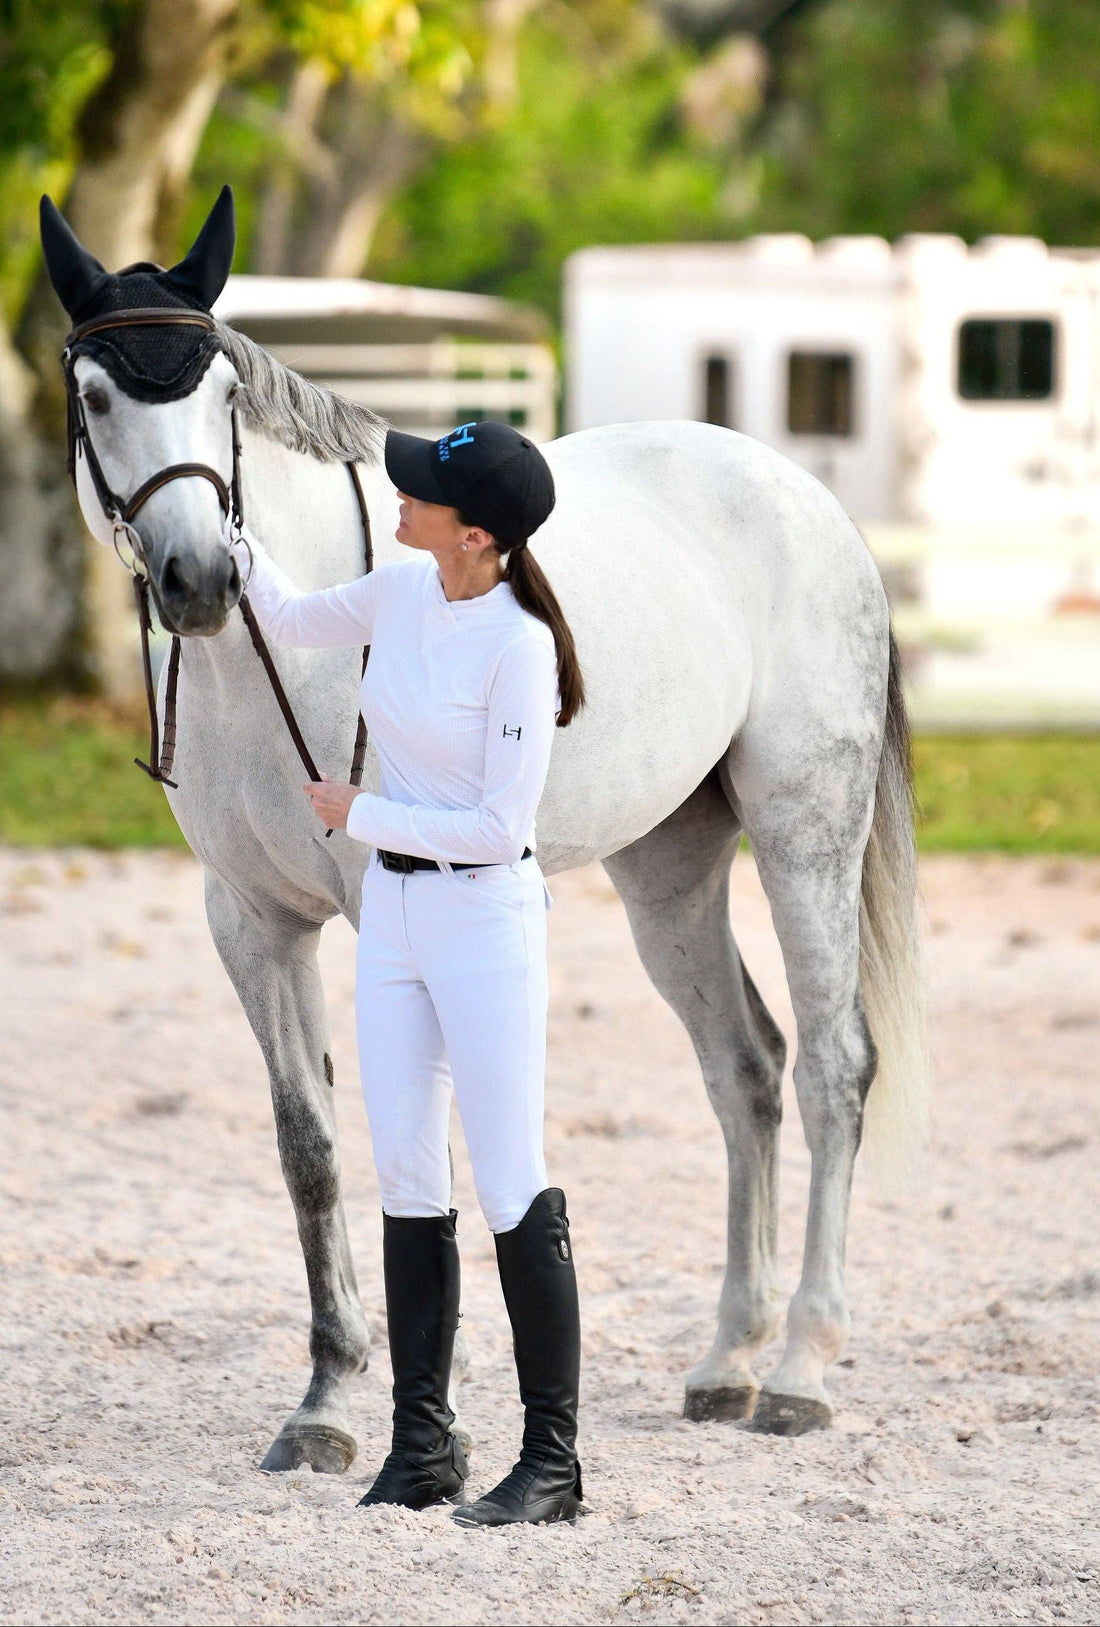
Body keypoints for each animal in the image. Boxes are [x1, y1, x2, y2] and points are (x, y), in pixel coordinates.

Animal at [40, 187, 927, 1472]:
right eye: (101, 396)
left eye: (221, 396)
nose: (200, 578)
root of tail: (806, 501)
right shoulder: (250, 923)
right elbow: (309, 1148)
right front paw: (324, 1402)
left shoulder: (391, 911)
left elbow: (425, 1142)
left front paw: (430, 1408)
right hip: (667, 872)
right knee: (744, 1068)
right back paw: (725, 1359)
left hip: (805, 829)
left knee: (830, 1066)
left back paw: (801, 1372)